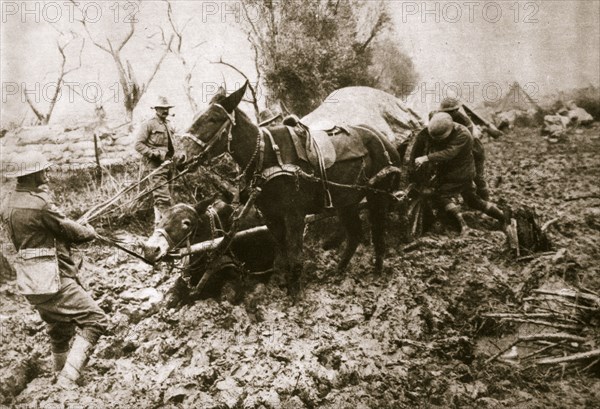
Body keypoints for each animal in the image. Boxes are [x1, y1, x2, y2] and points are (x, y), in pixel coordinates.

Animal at [180, 81, 400, 298]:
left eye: (213, 119)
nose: (180, 157)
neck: (266, 155)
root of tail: (383, 139)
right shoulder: (271, 218)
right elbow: (284, 255)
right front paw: (287, 289)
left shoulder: (294, 215)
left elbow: (295, 256)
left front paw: (296, 297)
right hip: (347, 201)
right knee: (355, 234)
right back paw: (338, 273)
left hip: (377, 194)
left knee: (378, 231)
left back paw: (378, 274)